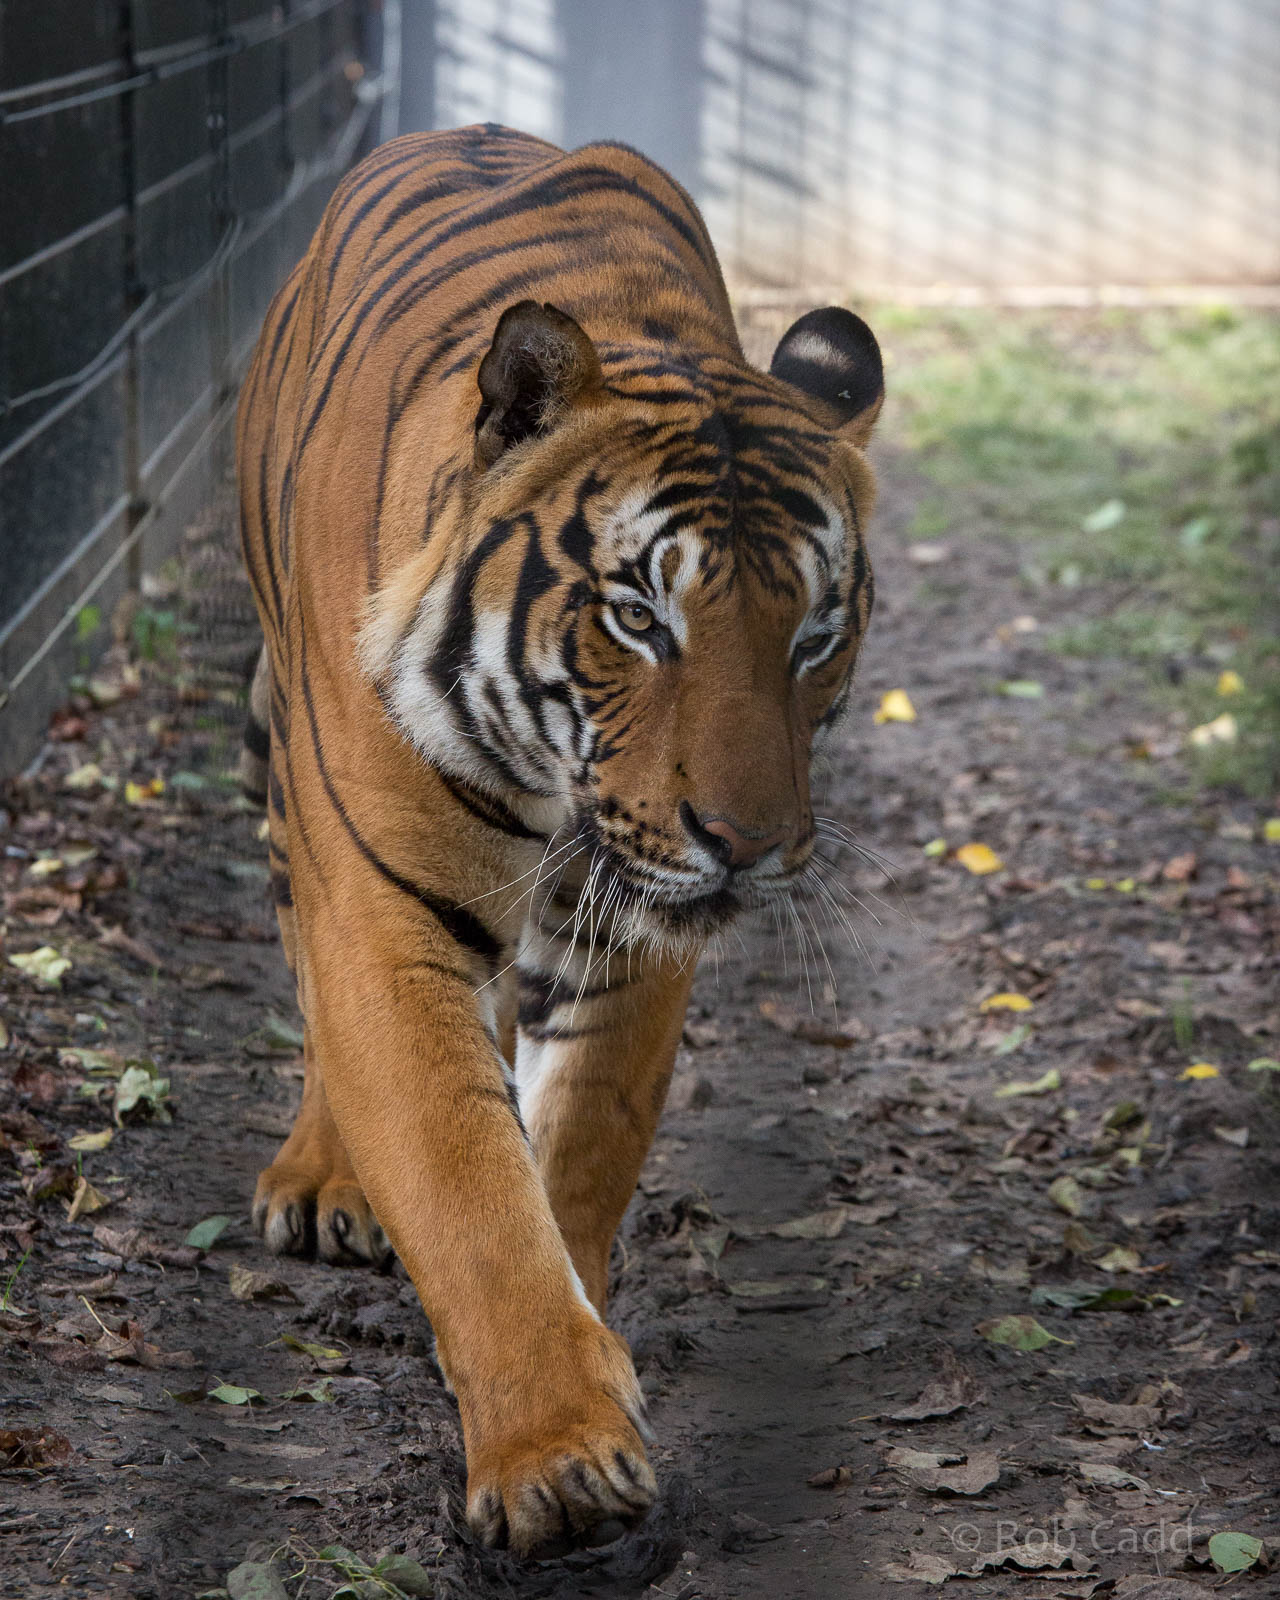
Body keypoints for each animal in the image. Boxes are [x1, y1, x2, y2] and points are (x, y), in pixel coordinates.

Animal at [235, 122, 882, 1560]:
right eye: (640, 616)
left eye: (814, 634)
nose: (749, 842)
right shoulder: (383, 913)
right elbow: (466, 1183)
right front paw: (557, 1462)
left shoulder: (630, 928)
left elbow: (578, 1147)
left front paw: (589, 1371)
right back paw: (320, 1177)